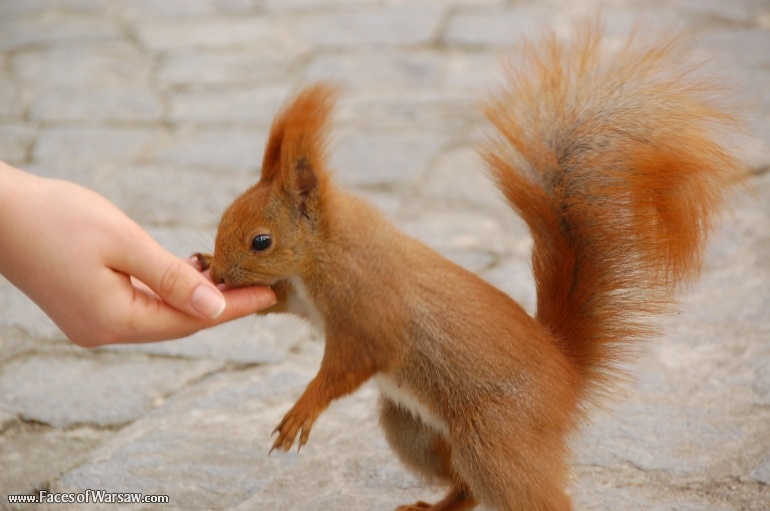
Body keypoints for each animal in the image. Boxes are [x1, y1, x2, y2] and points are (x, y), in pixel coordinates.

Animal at [195, 23, 744, 511]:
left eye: (261, 241)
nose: (220, 277)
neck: (327, 253)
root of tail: (566, 377)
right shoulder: (306, 298)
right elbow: (283, 301)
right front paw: (205, 266)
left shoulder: (368, 310)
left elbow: (348, 366)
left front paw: (303, 408)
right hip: (411, 429)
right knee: (466, 488)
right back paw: (433, 507)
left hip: (495, 439)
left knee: (525, 494)